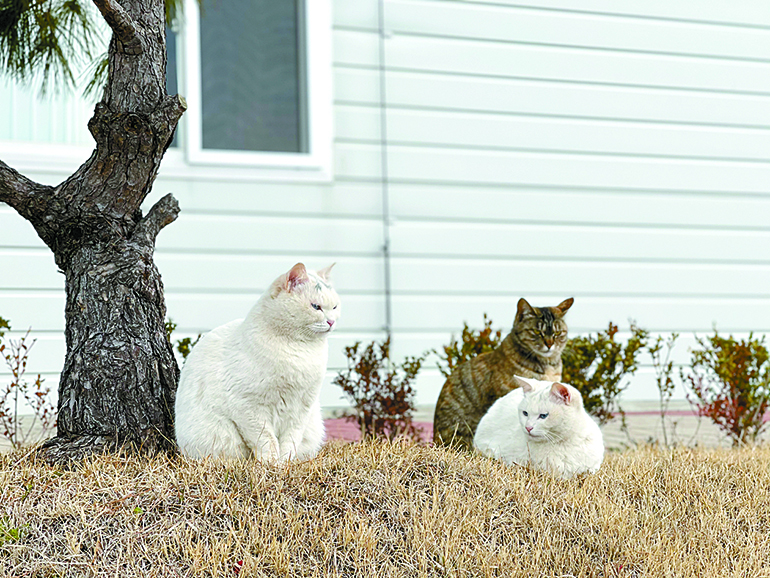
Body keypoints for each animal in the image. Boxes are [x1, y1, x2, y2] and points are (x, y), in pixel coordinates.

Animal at [178, 260, 340, 460]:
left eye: (335, 307)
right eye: (316, 306)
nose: (332, 321)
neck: (301, 351)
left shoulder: (302, 409)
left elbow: (290, 440)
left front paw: (286, 462)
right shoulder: (248, 408)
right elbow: (266, 440)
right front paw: (272, 464)